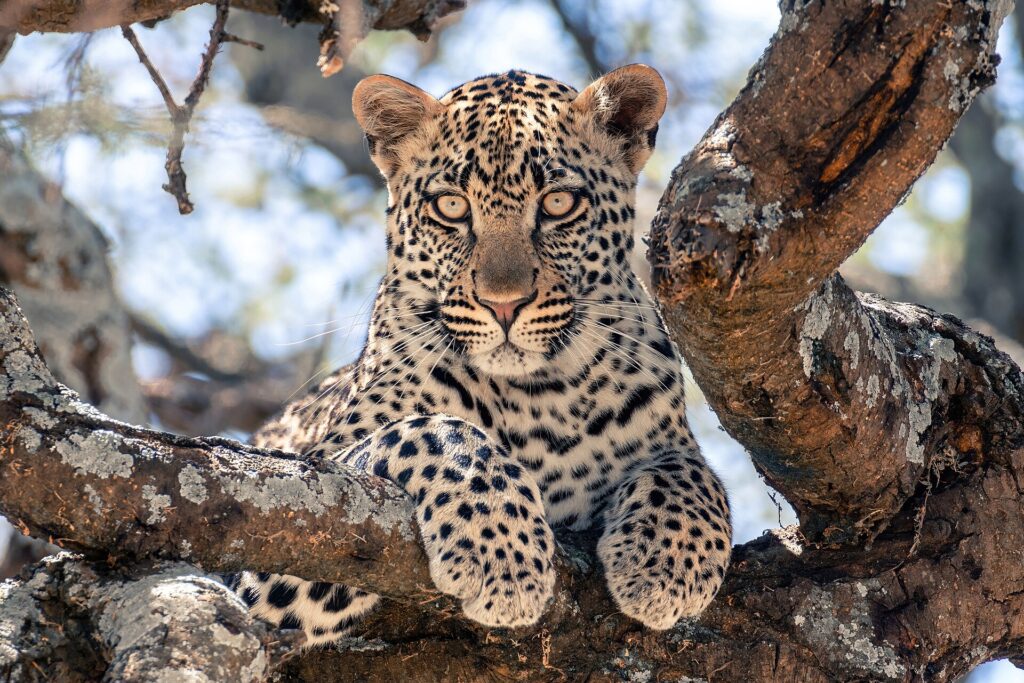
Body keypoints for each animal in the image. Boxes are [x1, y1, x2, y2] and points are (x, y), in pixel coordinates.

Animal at [229, 65, 732, 646]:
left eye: (558, 204)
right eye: (451, 207)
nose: (504, 303)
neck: (540, 396)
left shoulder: (668, 437)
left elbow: (691, 471)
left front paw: (669, 564)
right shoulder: (294, 519)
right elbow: (433, 429)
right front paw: (504, 556)